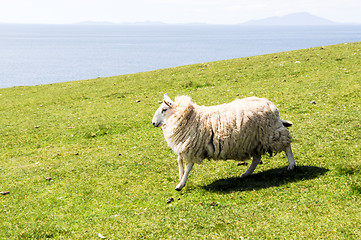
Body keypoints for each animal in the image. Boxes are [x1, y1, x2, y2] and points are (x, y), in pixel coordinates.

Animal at [150, 94, 294, 191]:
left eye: (164, 109)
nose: (153, 123)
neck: (188, 117)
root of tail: (270, 104)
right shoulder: (184, 147)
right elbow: (179, 161)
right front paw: (180, 178)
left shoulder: (192, 147)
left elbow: (188, 167)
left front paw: (180, 184)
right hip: (254, 140)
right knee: (257, 158)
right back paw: (246, 174)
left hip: (271, 133)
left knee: (287, 145)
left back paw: (291, 165)